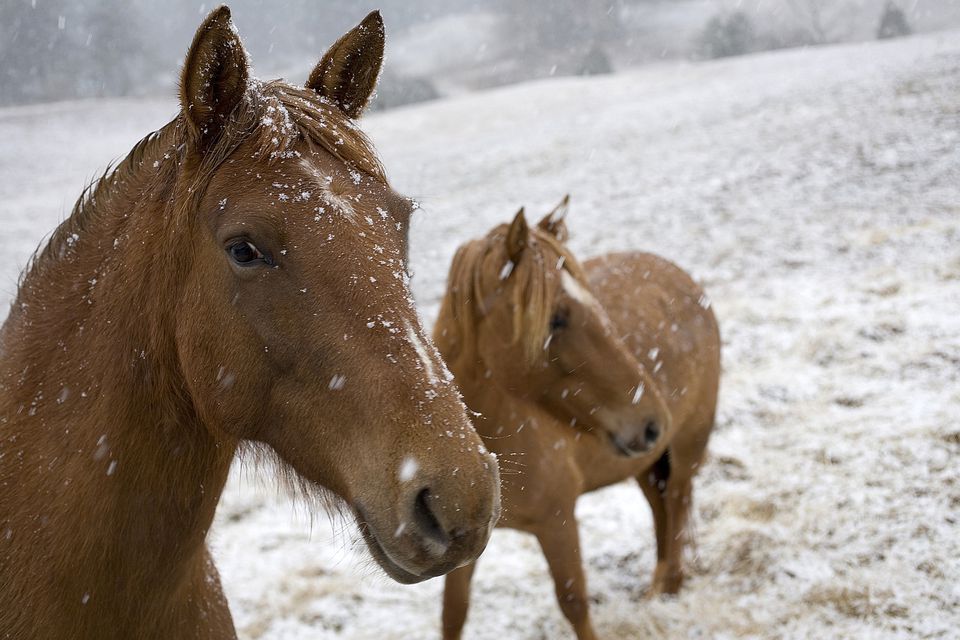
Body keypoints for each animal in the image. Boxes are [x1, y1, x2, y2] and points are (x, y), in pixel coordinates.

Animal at [436, 196, 720, 640]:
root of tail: (684, 278)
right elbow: (454, 612)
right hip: (644, 464)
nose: (652, 421)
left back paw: (669, 588)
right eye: (556, 317)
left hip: (687, 447)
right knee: (661, 512)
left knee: (677, 505)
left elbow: (573, 602)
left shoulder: (558, 521)